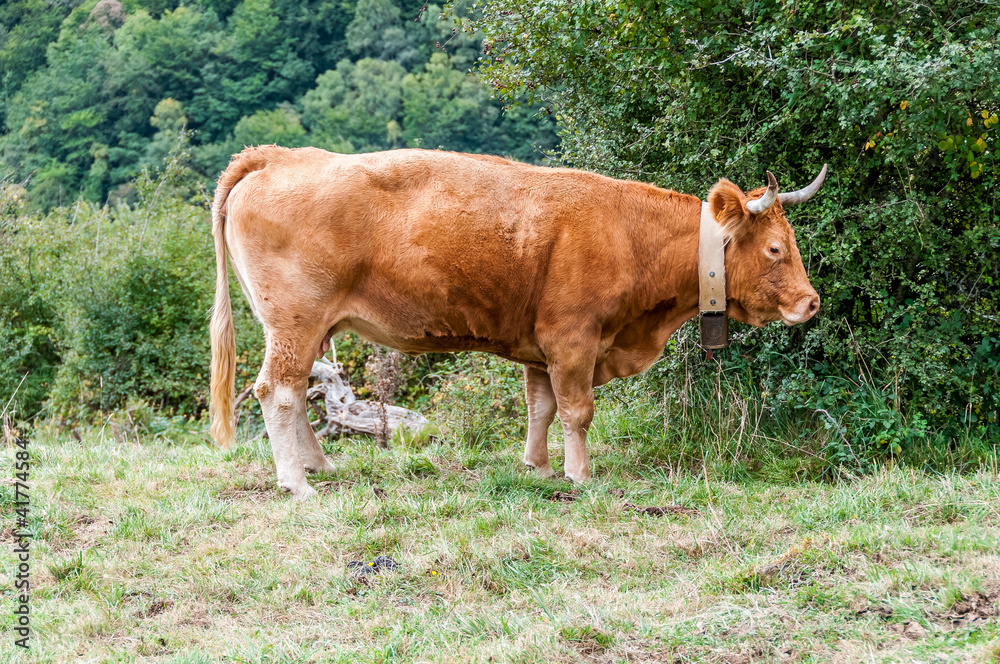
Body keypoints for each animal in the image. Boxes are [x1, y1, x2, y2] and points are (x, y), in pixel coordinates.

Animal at [207, 147, 824, 498]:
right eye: (775, 248)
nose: (813, 302)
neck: (629, 234)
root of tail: (277, 155)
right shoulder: (573, 339)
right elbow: (577, 410)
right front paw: (579, 476)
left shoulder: (540, 348)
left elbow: (541, 407)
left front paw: (539, 468)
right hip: (294, 322)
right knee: (277, 391)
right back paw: (295, 481)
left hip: (303, 329)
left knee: (295, 392)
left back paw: (318, 465)